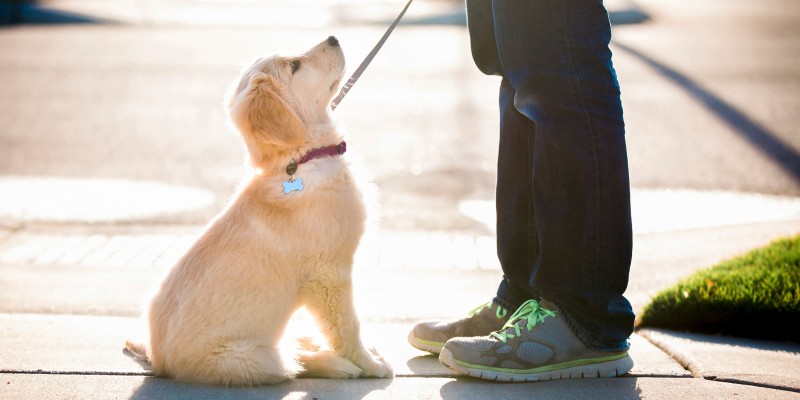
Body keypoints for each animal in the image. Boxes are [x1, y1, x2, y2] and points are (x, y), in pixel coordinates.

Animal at [124, 36, 394, 386]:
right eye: (295, 65)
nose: (334, 38)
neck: (300, 158)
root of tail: (157, 361)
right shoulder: (329, 273)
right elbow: (347, 326)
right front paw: (369, 364)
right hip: (250, 358)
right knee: (291, 362)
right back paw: (337, 364)